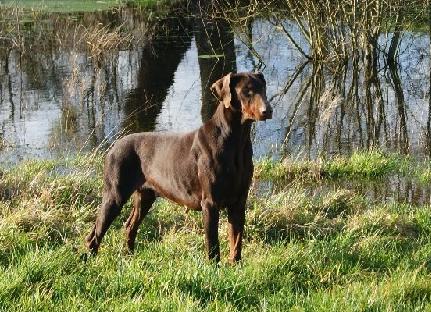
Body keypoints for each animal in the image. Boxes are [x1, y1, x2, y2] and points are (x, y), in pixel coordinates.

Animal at [85, 72, 274, 262]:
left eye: (263, 88)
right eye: (246, 91)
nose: (268, 110)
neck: (236, 141)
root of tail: (114, 146)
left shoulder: (239, 201)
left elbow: (236, 243)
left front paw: (235, 265)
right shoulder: (210, 203)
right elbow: (212, 244)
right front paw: (214, 266)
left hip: (145, 196)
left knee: (130, 226)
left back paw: (129, 257)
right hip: (115, 194)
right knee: (95, 234)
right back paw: (91, 260)